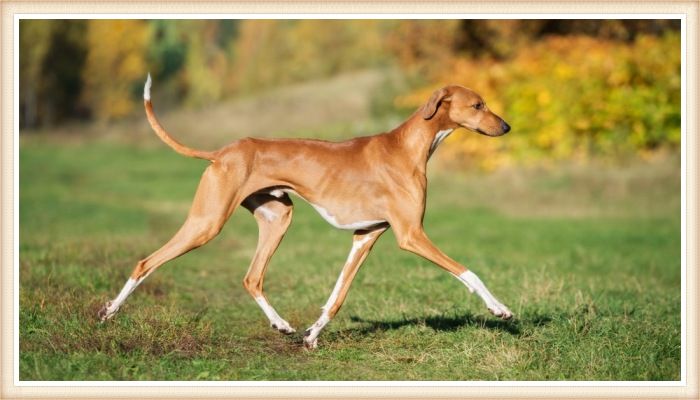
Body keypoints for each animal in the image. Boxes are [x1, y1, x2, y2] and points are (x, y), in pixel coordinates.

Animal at [98, 73, 512, 348]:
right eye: (478, 105)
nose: (507, 126)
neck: (408, 147)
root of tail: (222, 152)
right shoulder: (411, 235)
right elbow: (468, 272)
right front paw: (500, 309)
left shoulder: (365, 236)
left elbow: (337, 296)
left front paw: (312, 335)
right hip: (207, 222)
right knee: (146, 262)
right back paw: (109, 312)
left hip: (278, 218)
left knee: (252, 278)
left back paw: (282, 325)